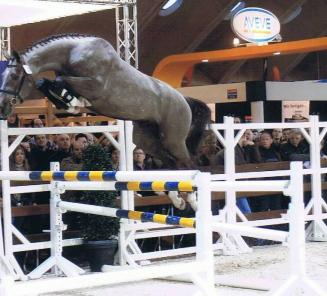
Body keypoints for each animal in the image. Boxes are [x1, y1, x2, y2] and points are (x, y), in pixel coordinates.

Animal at [0, 33, 211, 210]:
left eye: (14, 76)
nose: (3, 107)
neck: (74, 53)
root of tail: (184, 99)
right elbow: (46, 82)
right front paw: (71, 103)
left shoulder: (95, 85)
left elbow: (59, 80)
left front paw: (74, 102)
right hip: (147, 140)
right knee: (171, 163)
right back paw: (177, 200)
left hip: (173, 140)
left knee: (188, 165)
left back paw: (193, 201)